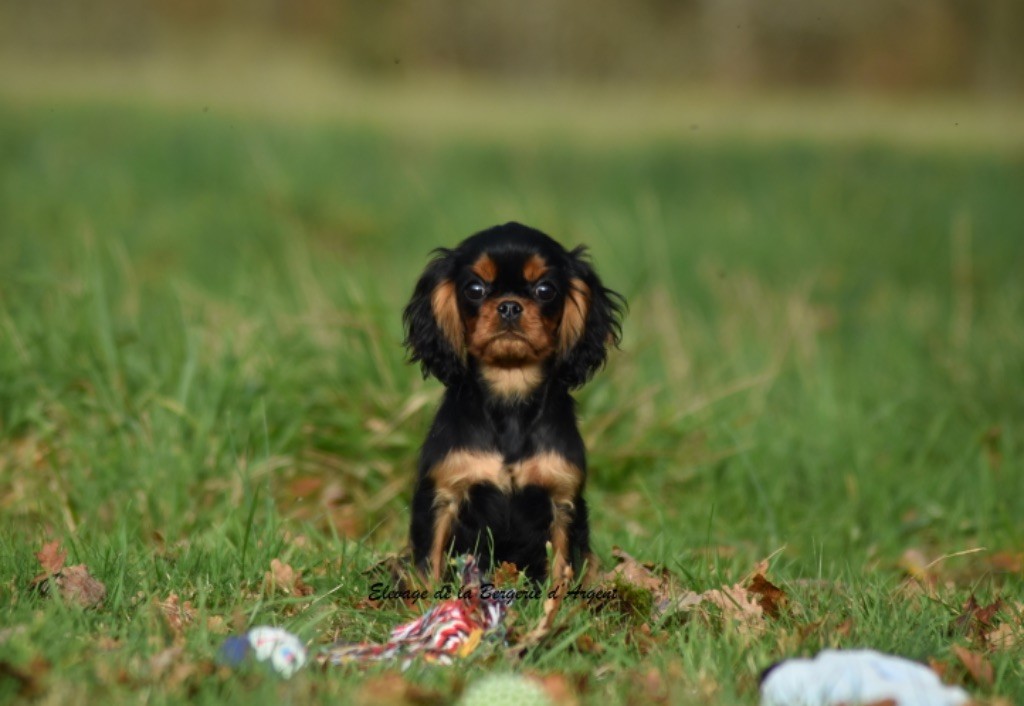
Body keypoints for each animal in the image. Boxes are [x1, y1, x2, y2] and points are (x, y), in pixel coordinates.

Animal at [401, 223, 622, 582]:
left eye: (545, 290)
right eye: (475, 289)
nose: (508, 306)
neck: (510, 395)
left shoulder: (563, 502)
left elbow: (562, 568)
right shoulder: (441, 496)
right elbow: (428, 564)